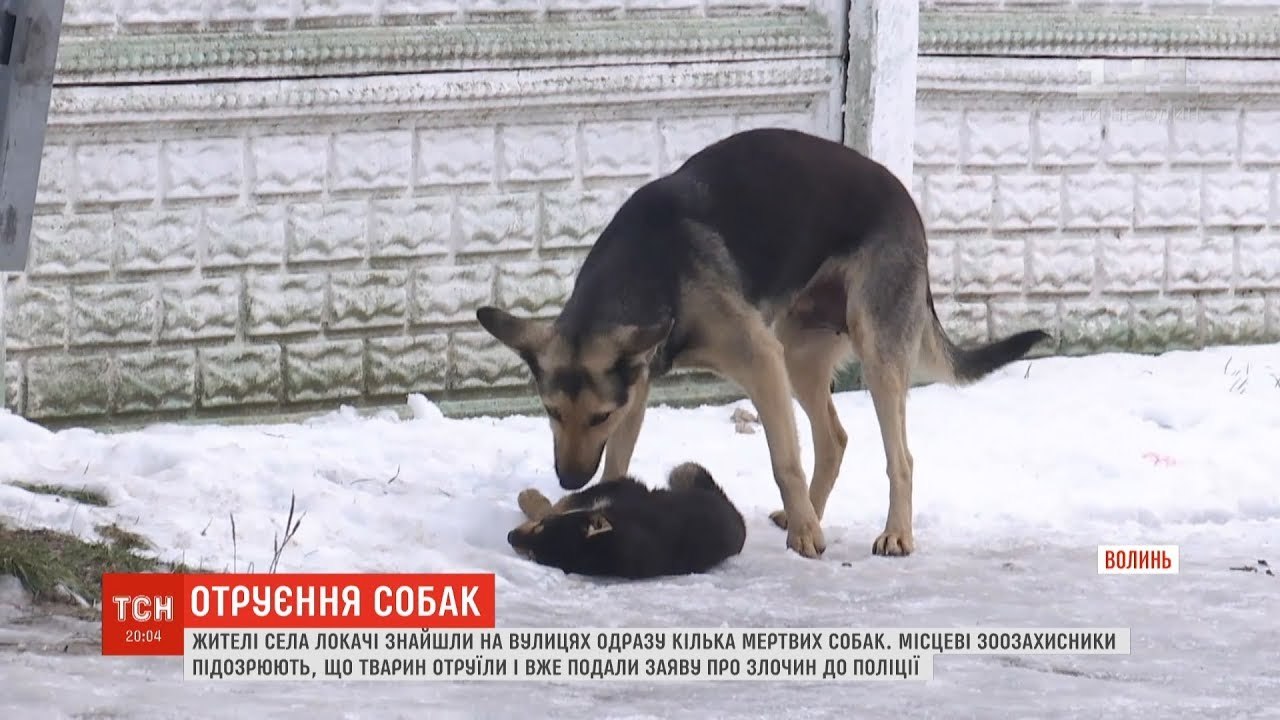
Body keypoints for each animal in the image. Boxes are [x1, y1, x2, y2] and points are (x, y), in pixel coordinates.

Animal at [478, 126, 1049, 558]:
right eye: (551, 411)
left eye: (597, 416)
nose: (570, 482)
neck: (648, 266)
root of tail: (908, 201)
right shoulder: (637, 386)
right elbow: (618, 461)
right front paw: (603, 502)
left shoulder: (758, 361)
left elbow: (784, 460)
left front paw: (807, 536)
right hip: (800, 353)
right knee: (834, 438)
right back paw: (811, 513)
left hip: (873, 349)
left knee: (900, 457)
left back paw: (890, 532)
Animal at [506, 458, 747, 576]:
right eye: (532, 556)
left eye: (543, 526)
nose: (509, 536)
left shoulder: (620, 489)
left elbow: (557, 504)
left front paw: (527, 496)